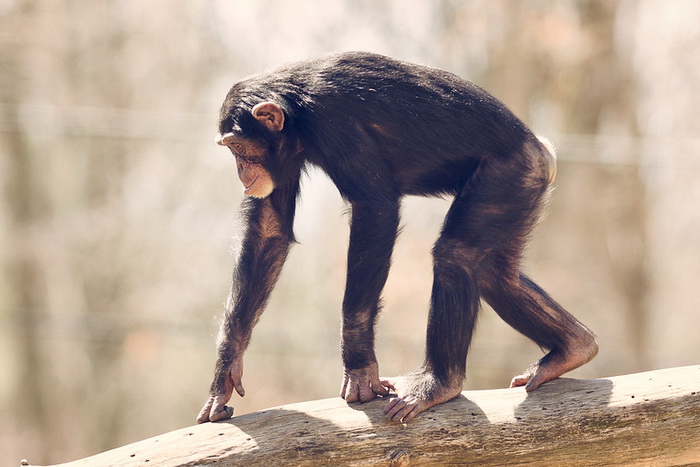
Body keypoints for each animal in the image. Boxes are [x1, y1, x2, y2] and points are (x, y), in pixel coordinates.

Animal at [196, 51, 596, 424]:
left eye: (238, 148)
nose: (241, 170)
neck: (297, 116)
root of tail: (544, 151)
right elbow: (270, 227)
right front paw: (225, 372)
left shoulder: (335, 123)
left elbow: (375, 207)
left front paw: (359, 366)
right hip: (522, 191)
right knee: (495, 273)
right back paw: (572, 348)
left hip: (508, 175)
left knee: (457, 256)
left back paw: (439, 383)